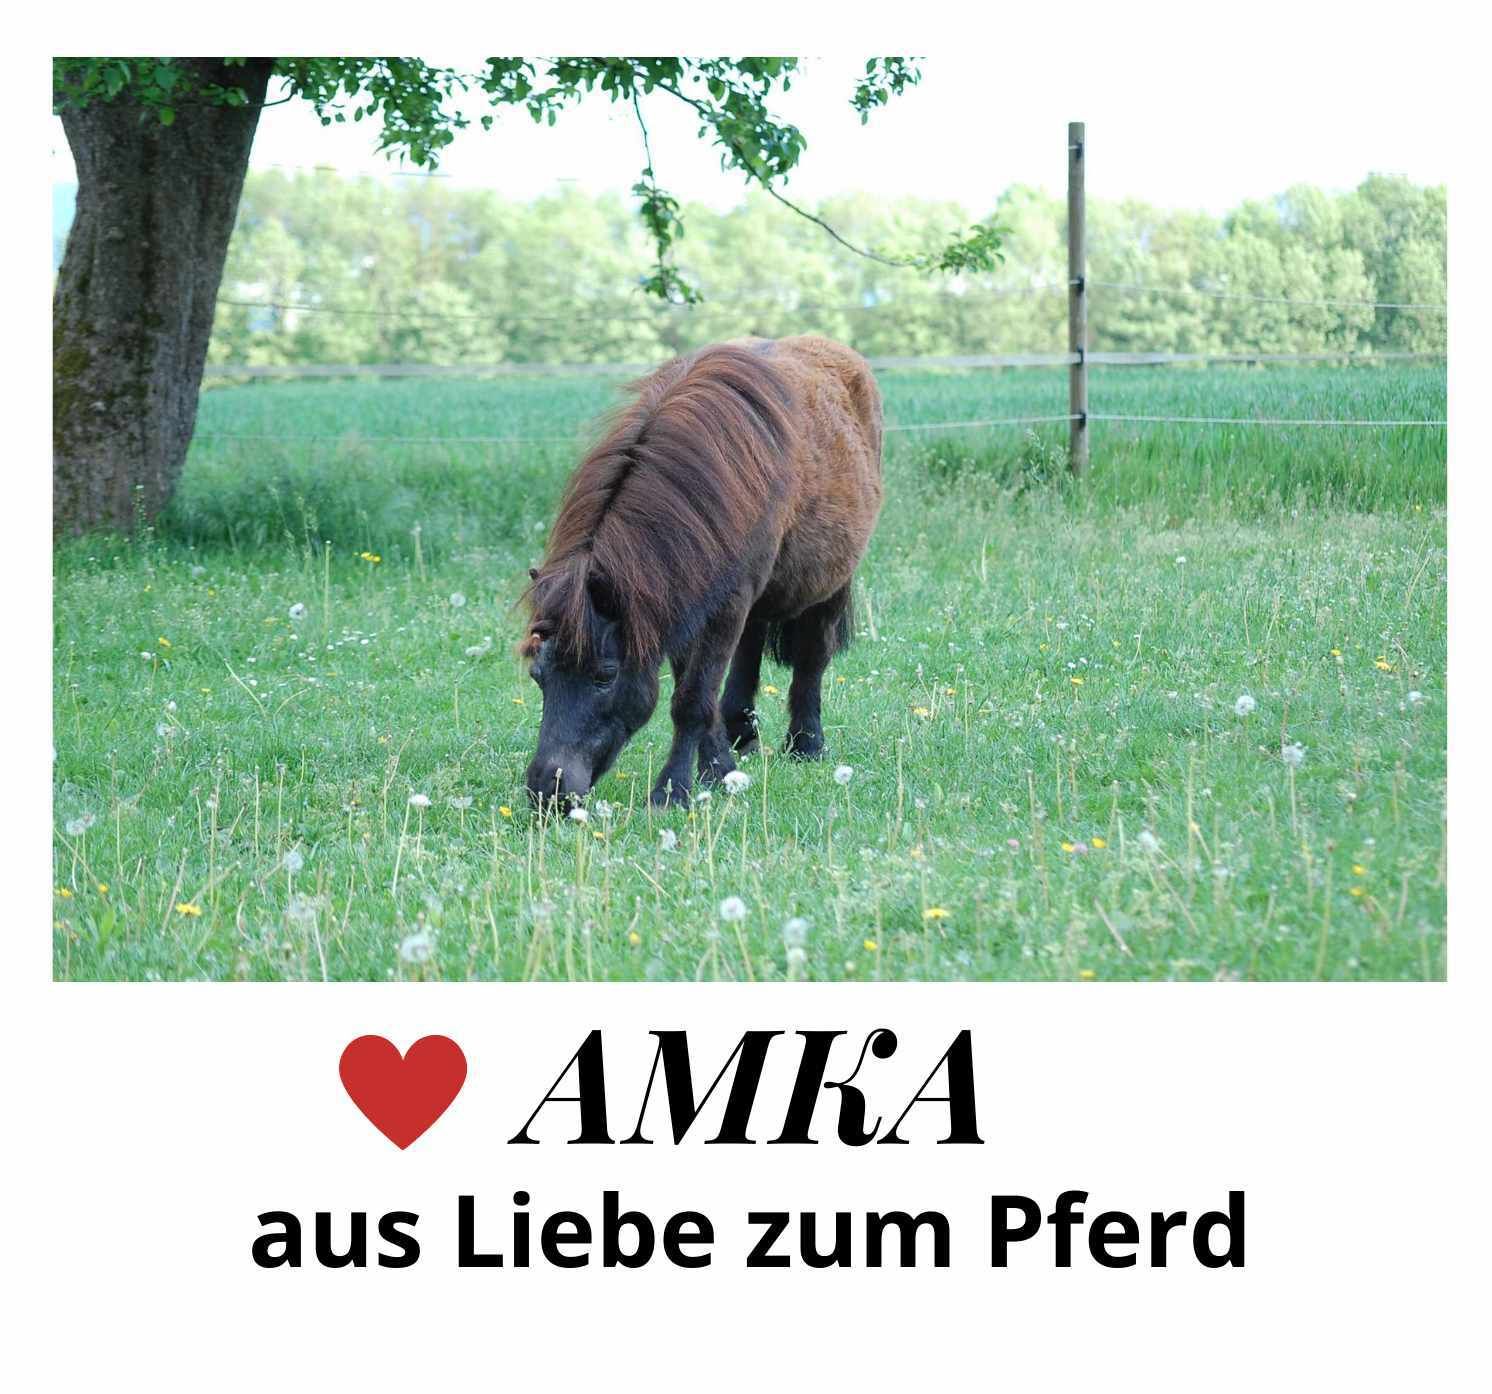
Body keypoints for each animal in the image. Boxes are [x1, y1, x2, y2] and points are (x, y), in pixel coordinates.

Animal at [520, 334, 883, 809]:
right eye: (537, 675)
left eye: (605, 675)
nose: (549, 789)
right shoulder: (682, 600)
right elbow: (699, 691)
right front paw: (718, 769)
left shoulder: (724, 604)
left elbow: (691, 700)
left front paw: (672, 790)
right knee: (748, 652)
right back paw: (741, 733)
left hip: (829, 586)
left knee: (811, 660)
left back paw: (806, 744)